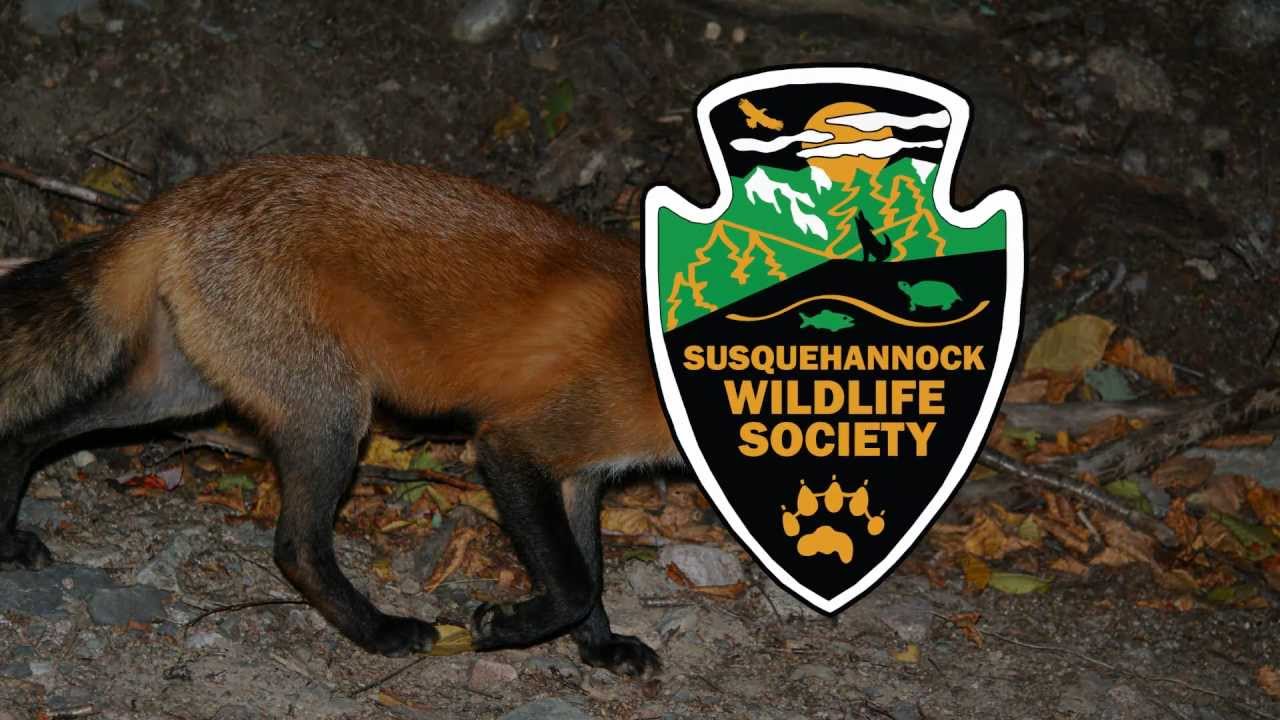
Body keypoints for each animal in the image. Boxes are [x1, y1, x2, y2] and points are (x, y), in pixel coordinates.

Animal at [0, 155, 682, 677]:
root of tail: (180, 198)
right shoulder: (514, 444)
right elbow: (575, 583)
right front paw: (504, 626)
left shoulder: (580, 469)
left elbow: (590, 574)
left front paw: (601, 648)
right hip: (329, 411)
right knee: (296, 546)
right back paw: (379, 631)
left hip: (183, 389)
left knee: (35, 430)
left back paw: (6, 532)